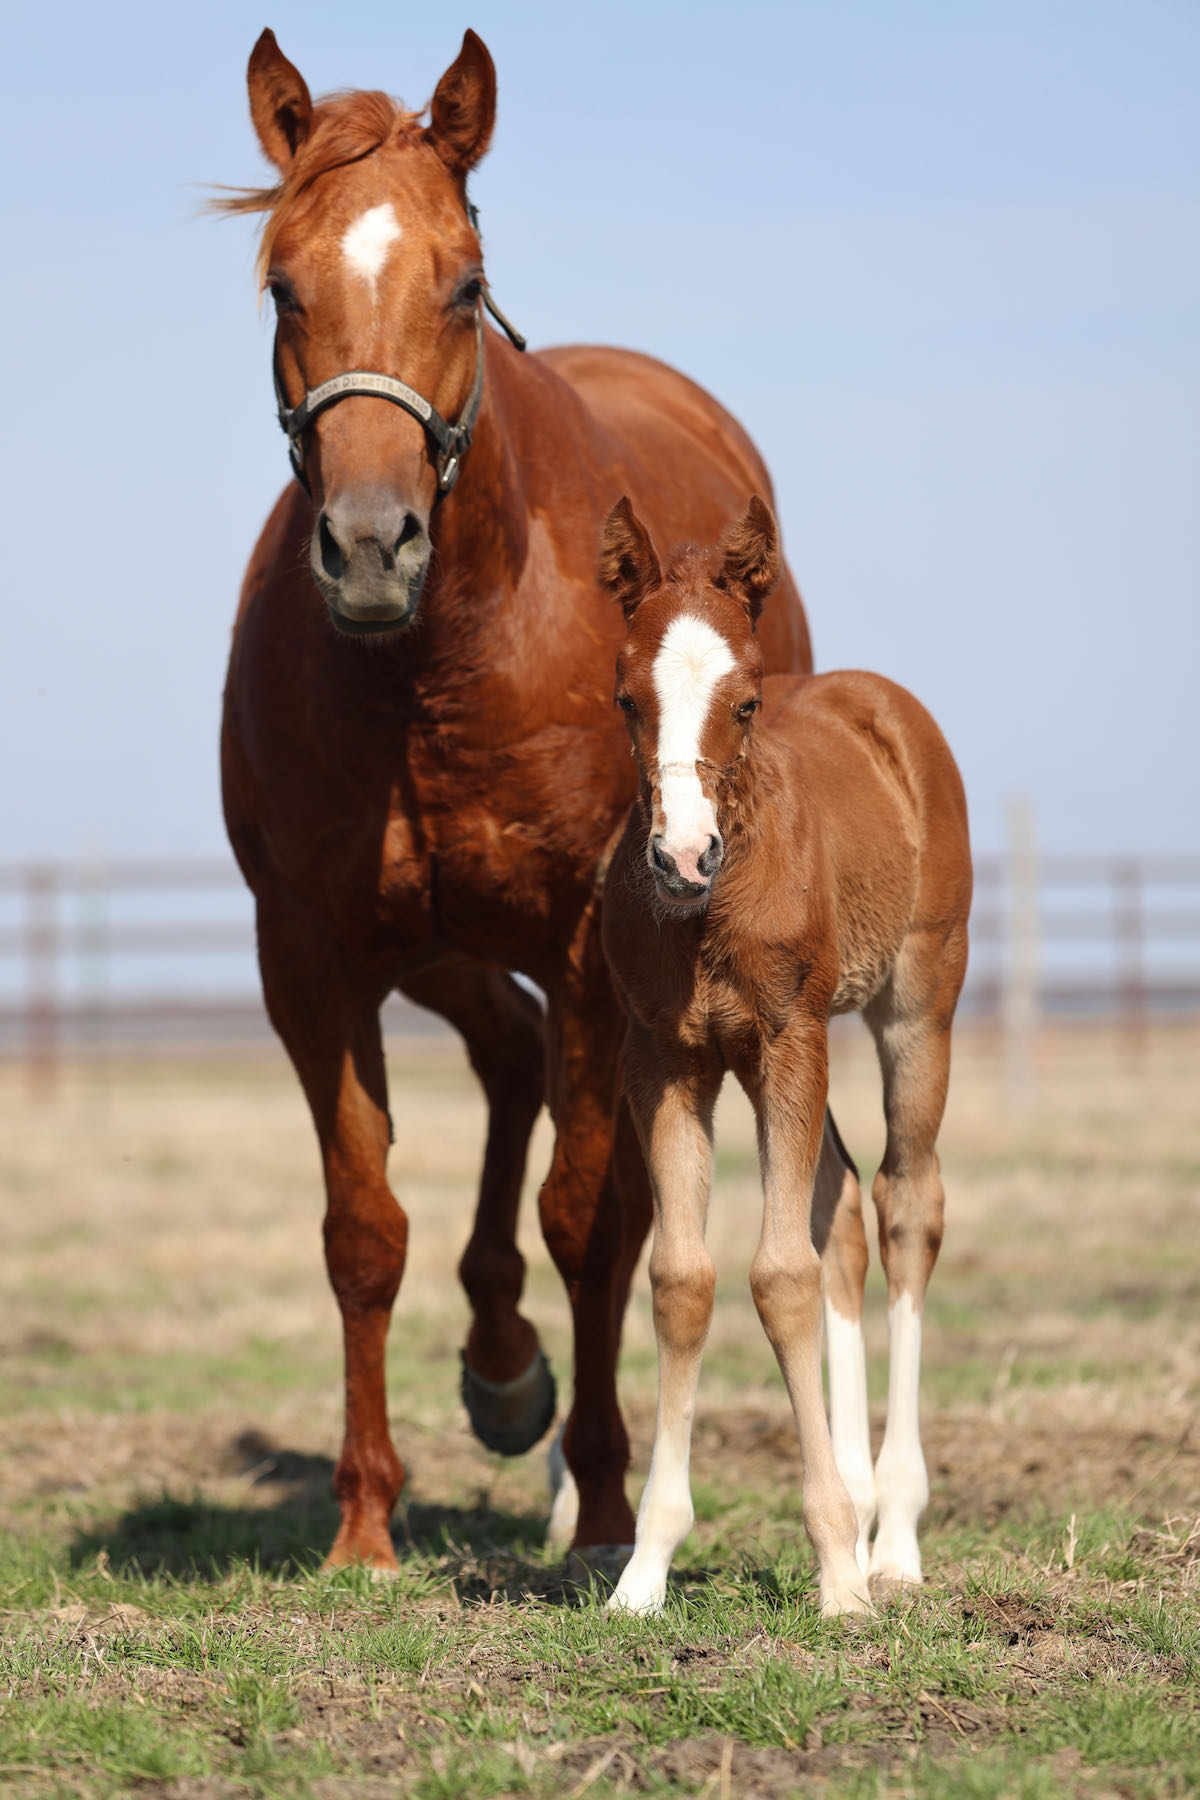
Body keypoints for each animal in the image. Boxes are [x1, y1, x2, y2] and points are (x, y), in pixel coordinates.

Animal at [215, 28, 831, 1572]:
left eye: (462, 282)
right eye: (283, 283)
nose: (371, 546)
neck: (440, 657)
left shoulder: (593, 956)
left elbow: (591, 1220)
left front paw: (607, 1508)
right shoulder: (311, 954)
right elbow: (362, 1229)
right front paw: (364, 1523)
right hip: (432, 946)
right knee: (501, 1054)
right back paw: (501, 1373)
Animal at [596, 496, 971, 1616]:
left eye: (748, 702)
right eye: (627, 698)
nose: (683, 857)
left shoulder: (785, 1040)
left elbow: (779, 1278)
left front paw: (841, 1575)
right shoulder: (665, 1062)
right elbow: (684, 1279)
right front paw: (644, 1571)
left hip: (913, 1007)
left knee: (905, 1204)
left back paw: (894, 1539)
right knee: (839, 1205)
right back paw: (859, 1497)